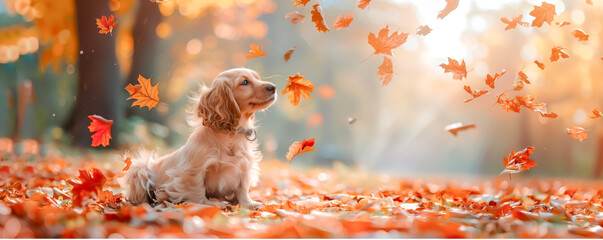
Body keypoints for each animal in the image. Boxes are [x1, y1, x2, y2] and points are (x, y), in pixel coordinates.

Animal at [122, 68, 278, 210]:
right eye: (244, 82)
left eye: (257, 78)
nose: (273, 87)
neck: (230, 135)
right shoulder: (192, 171)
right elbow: (197, 190)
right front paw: (208, 205)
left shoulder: (244, 166)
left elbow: (242, 189)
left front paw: (249, 204)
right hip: (140, 167)